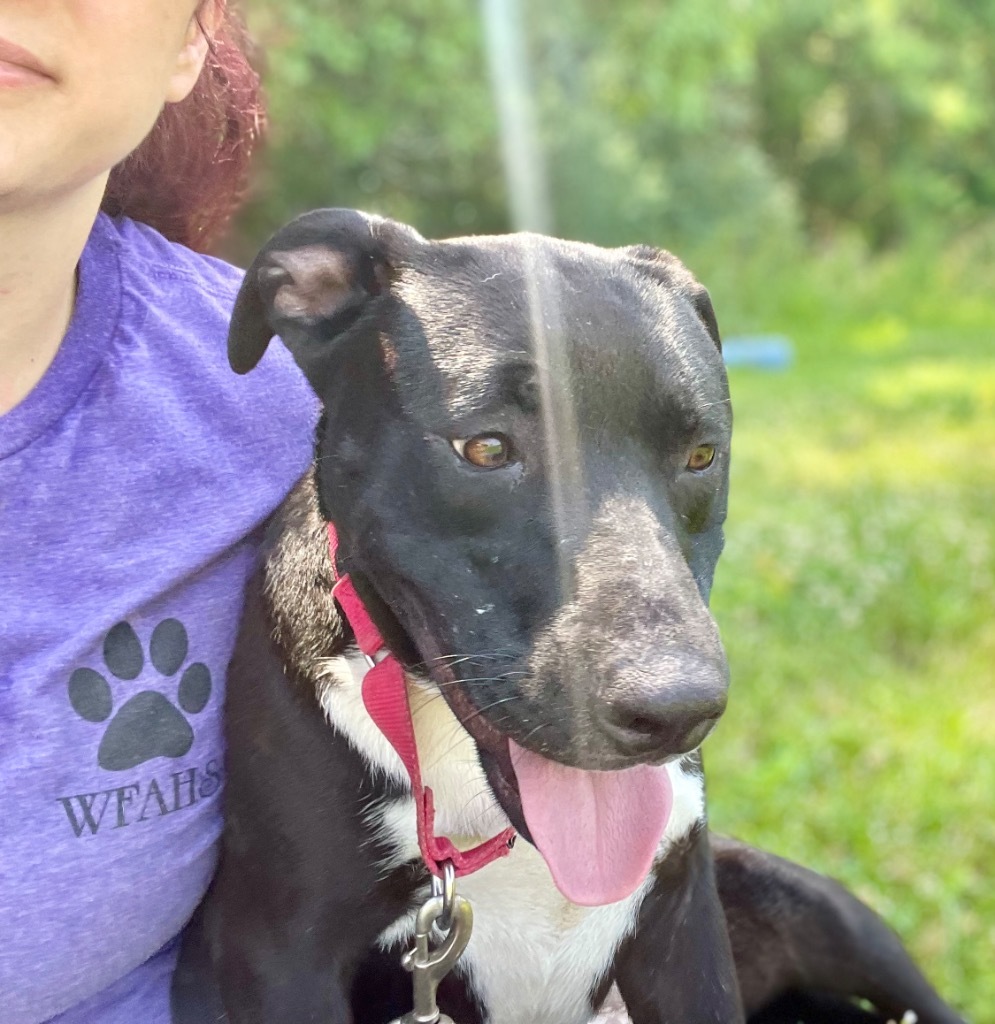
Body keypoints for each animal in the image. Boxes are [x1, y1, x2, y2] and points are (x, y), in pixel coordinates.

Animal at [168, 209, 962, 1024]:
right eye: (486, 448)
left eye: (702, 455)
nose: (676, 712)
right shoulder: (284, 953)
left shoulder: (685, 929)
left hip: (831, 918)